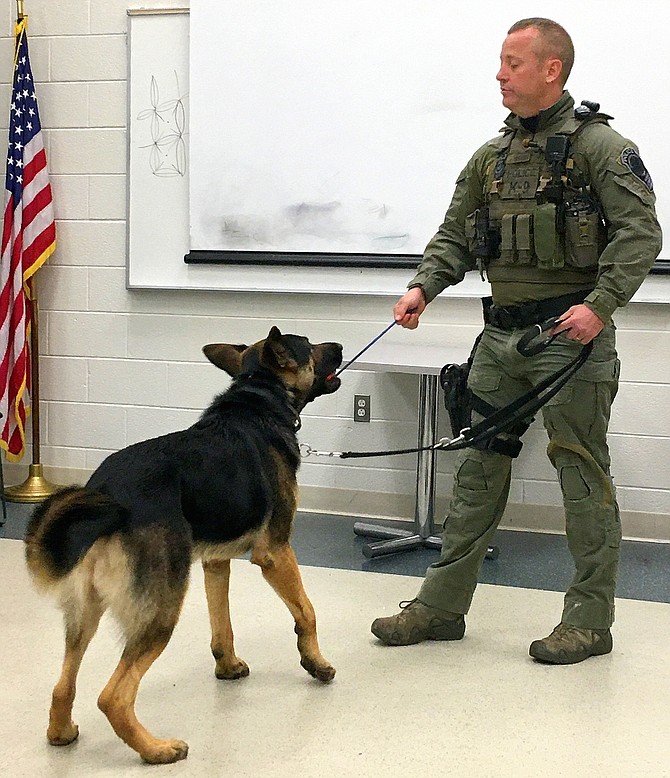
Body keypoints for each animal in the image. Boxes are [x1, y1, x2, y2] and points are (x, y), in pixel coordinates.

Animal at [25, 324, 342, 760]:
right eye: (310, 345)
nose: (341, 345)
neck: (259, 396)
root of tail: (108, 496)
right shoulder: (275, 553)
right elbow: (307, 612)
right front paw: (316, 663)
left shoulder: (215, 563)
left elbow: (222, 624)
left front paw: (227, 668)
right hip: (162, 610)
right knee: (113, 696)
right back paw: (156, 750)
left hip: (84, 614)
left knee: (63, 683)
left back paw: (61, 732)